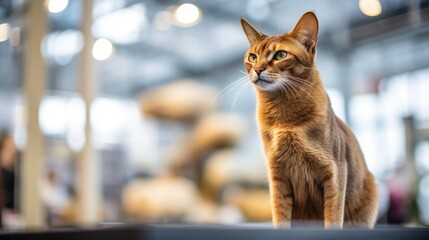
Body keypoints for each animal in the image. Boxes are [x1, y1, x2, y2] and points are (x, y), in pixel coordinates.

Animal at [241, 11, 378, 229]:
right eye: (252, 57)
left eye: (280, 55)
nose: (258, 69)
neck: (285, 120)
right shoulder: (277, 176)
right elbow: (280, 217)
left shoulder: (335, 172)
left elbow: (333, 218)